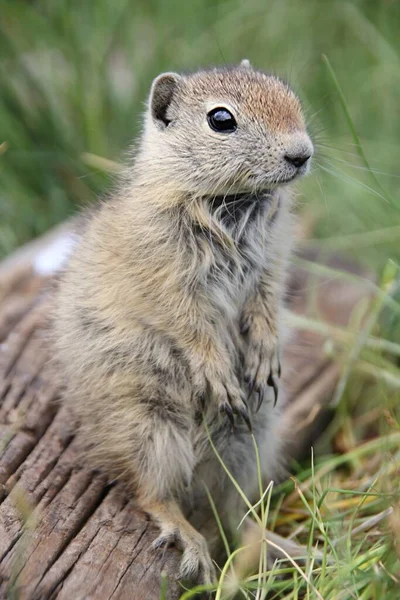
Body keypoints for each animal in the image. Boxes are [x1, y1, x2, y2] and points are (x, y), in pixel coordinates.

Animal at [52, 59, 312, 584]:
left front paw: (265, 358)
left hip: (249, 438)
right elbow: (193, 330)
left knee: (235, 514)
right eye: (221, 120)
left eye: (288, 94)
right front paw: (221, 375)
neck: (231, 202)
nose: (302, 154)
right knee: (154, 496)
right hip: (152, 432)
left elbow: (265, 308)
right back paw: (192, 544)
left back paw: (287, 549)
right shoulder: (171, 288)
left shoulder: (270, 269)